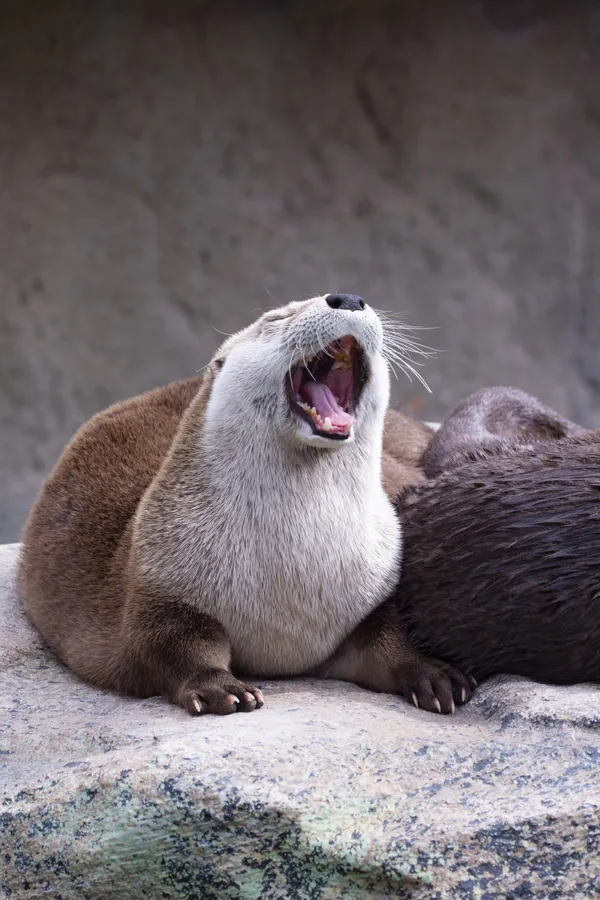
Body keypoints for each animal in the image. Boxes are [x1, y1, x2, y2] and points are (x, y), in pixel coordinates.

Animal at [18, 293, 473, 716]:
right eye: (276, 318)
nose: (347, 298)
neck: (297, 571)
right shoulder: (158, 578)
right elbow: (167, 645)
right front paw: (220, 687)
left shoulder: (376, 588)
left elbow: (389, 639)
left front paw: (433, 675)